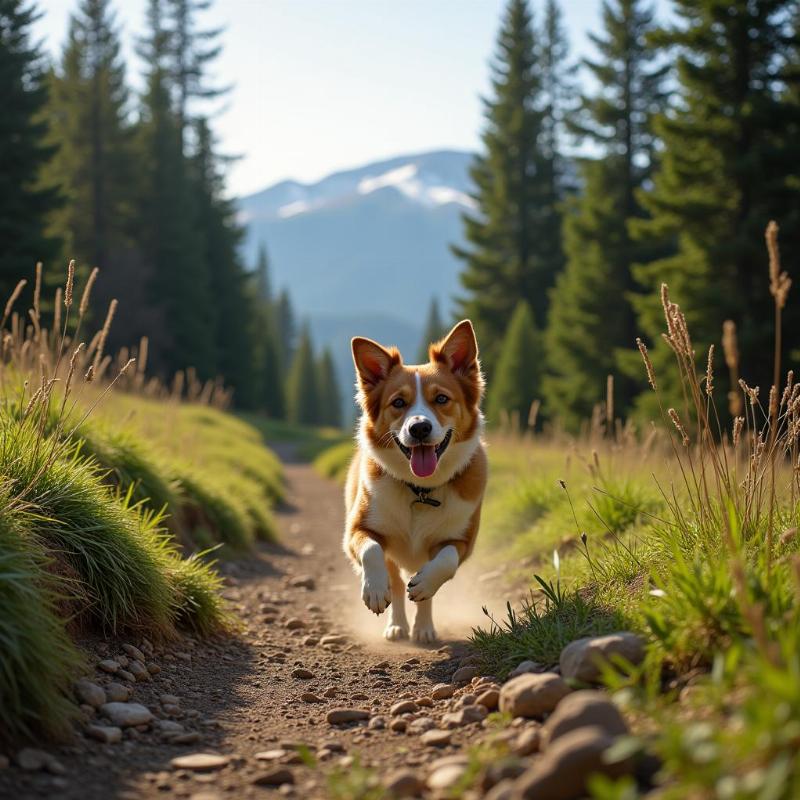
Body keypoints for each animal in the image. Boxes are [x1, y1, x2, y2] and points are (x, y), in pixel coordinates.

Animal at [340, 318, 484, 644]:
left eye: (441, 399)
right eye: (398, 402)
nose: (419, 428)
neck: (420, 489)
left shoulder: (462, 541)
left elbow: (445, 562)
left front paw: (425, 585)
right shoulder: (357, 530)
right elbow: (371, 550)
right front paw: (375, 590)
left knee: (421, 591)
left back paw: (423, 628)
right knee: (395, 581)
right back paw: (397, 625)